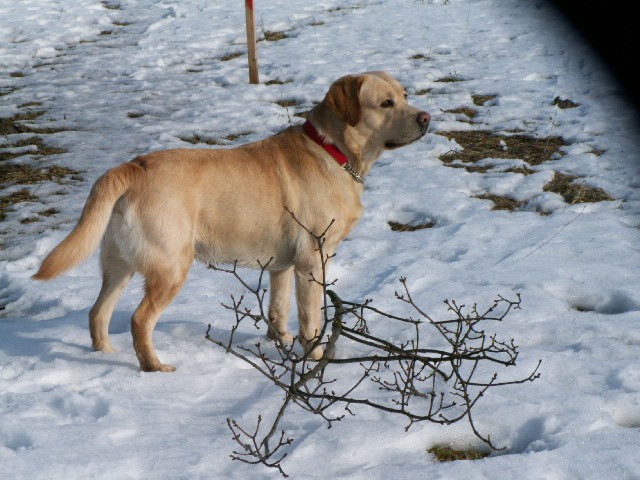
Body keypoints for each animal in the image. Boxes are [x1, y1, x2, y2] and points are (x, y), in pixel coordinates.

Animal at [32, 72, 432, 372]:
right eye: (386, 103)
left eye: (405, 95)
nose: (426, 118)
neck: (331, 150)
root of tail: (131, 167)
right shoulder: (311, 260)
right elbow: (310, 317)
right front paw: (314, 357)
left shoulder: (281, 266)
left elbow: (277, 310)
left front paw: (279, 343)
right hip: (170, 267)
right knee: (139, 320)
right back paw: (154, 368)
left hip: (120, 265)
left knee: (97, 312)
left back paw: (105, 355)